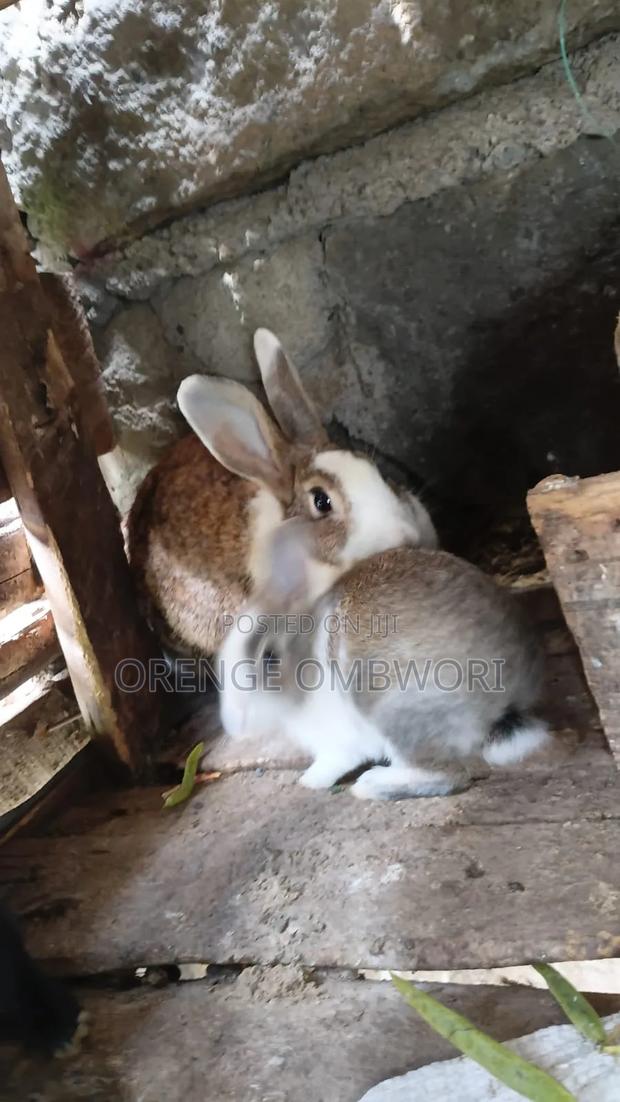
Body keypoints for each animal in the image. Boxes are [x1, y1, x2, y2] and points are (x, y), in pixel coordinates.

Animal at [217, 519, 549, 799]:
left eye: (269, 658)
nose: (235, 725)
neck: (309, 651)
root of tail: (507, 700)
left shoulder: (341, 742)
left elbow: (333, 762)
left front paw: (309, 781)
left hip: (394, 710)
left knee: (453, 773)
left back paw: (371, 785)